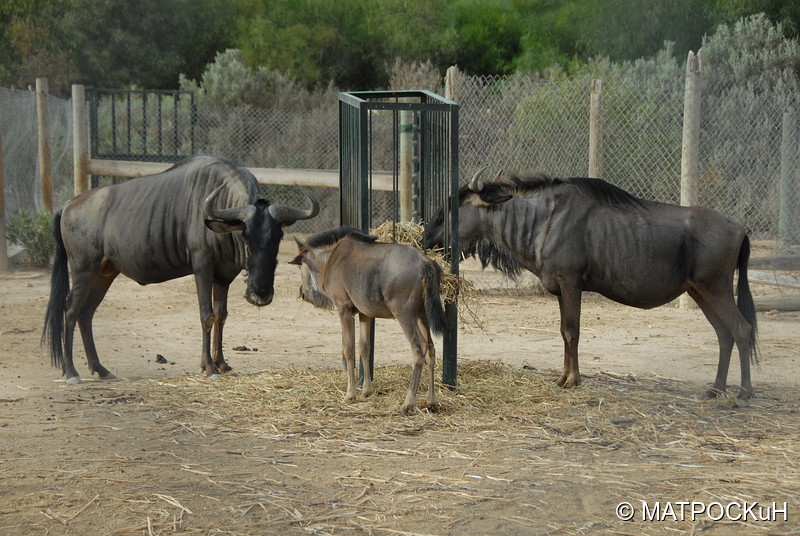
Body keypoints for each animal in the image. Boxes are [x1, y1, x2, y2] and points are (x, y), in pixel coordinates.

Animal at [290, 224, 446, 412]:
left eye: (300, 267)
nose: (302, 293)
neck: (330, 260)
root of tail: (424, 262)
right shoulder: (365, 314)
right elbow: (364, 347)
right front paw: (367, 390)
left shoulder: (344, 309)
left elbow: (348, 348)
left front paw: (350, 393)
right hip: (421, 314)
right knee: (430, 348)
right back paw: (432, 401)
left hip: (404, 314)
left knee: (418, 348)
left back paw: (408, 402)